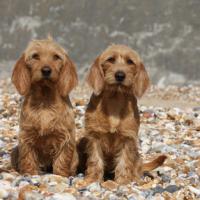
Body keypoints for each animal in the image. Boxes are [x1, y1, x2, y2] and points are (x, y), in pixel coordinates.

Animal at [10, 37, 78, 177]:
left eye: (56, 57)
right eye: (35, 56)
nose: (46, 70)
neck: (45, 102)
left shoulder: (65, 137)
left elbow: (63, 159)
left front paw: (61, 174)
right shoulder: (26, 136)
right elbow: (28, 157)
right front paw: (29, 173)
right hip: (15, 151)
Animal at [77, 44, 166, 184]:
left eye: (130, 62)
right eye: (110, 59)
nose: (120, 75)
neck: (115, 99)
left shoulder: (127, 138)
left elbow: (124, 162)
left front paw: (123, 181)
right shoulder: (94, 136)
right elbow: (95, 160)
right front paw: (92, 179)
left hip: (137, 155)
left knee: (136, 167)